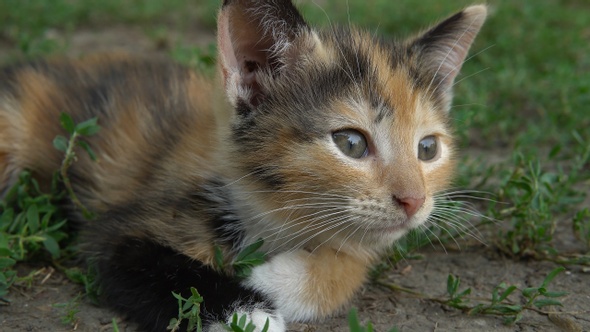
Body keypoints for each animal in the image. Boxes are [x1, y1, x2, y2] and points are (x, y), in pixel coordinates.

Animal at [0, 1, 490, 330]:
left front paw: (273, 282)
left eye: (427, 149)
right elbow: (164, 268)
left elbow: (352, 262)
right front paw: (251, 313)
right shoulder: (116, 231)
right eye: (350, 143)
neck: (275, 214)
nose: (414, 201)